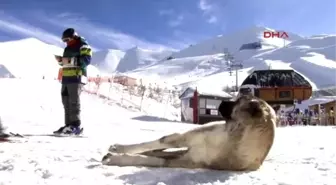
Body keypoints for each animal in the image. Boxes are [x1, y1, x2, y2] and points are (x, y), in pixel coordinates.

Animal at [101, 94, 276, 171]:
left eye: (238, 101)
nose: (220, 102)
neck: (232, 137)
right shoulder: (188, 137)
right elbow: (155, 142)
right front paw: (120, 149)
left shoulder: (189, 160)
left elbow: (155, 160)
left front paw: (117, 158)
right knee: (158, 148)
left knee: (160, 153)